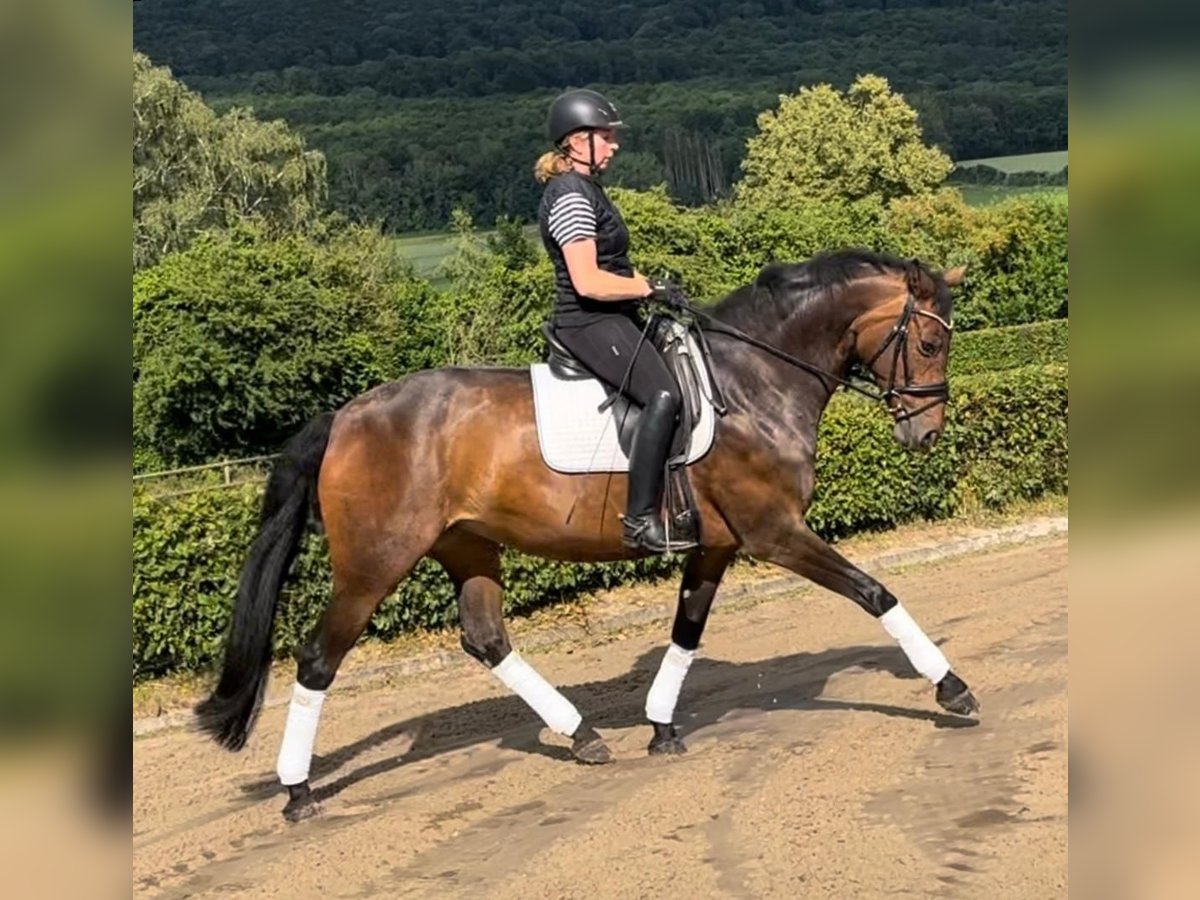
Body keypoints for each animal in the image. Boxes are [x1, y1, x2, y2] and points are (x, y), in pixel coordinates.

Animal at [194, 248, 974, 825]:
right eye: (930, 340)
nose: (926, 433)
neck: (754, 381)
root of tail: (346, 418)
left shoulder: (716, 546)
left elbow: (687, 632)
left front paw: (661, 726)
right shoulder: (775, 532)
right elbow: (874, 593)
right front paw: (953, 691)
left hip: (466, 545)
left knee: (486, 639)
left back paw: (582, 736)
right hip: (374, 564)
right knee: (318, 658)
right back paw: (297, 792)